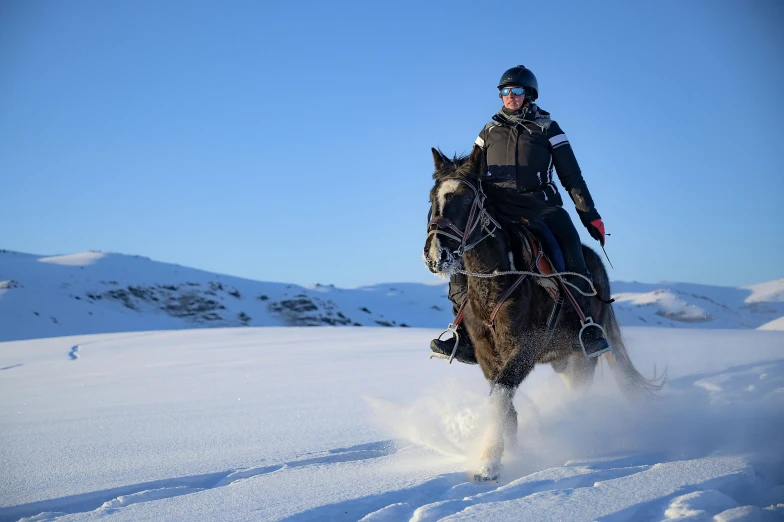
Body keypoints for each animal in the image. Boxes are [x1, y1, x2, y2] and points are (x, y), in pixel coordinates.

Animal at [422, 144, 660, 478]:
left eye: (468, 199)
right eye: (432, 199)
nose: (436, 255)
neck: (497, 282)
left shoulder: (527, 346)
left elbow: (501, 394)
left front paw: (488, 463)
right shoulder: (486, 354)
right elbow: (502, 401)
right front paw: (508, 452)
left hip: (583, 354)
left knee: (580, 392)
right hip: (563, 359)